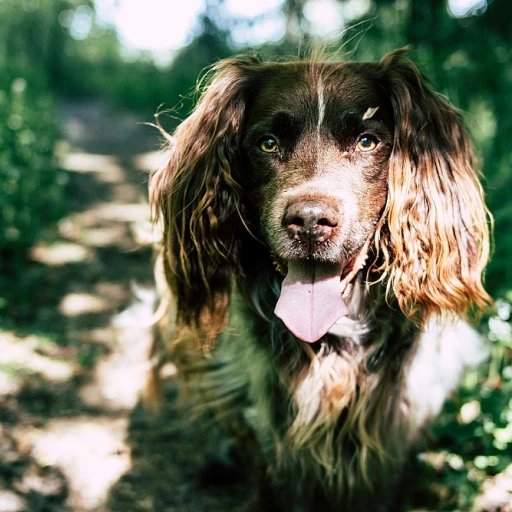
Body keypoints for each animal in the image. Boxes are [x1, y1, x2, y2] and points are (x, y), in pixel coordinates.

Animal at [149, 49, 492, 512]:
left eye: (366, 141)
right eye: (268, 143)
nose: (309, 222)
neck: (331, 340)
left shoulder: (394, 432)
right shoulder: (271, 433)